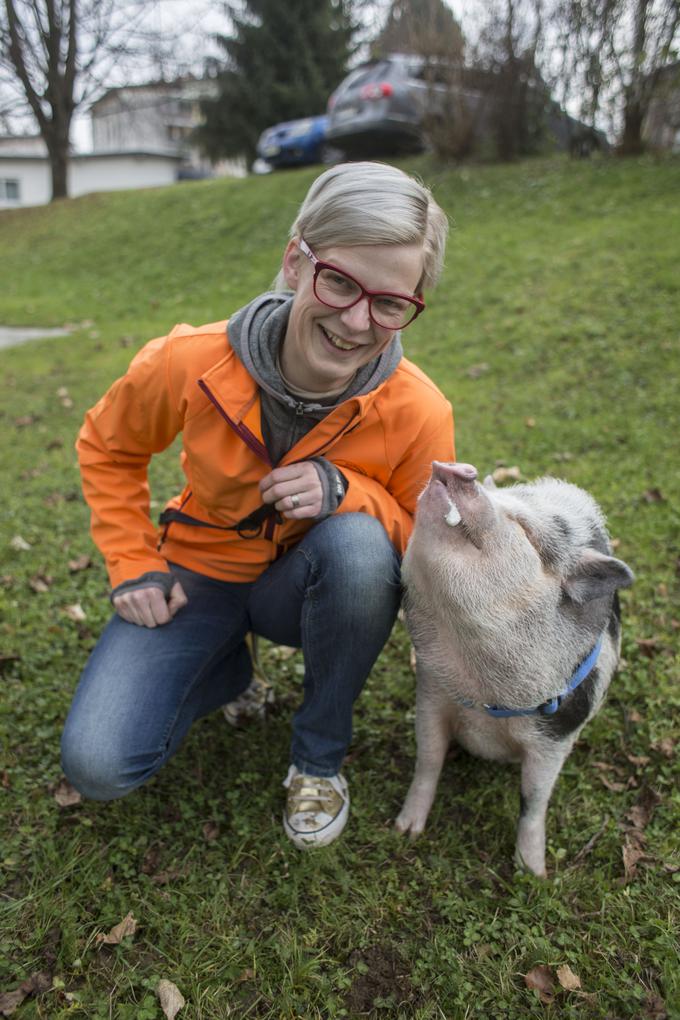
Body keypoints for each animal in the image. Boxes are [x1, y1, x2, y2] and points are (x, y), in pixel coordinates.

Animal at [395, 463, 636, 877]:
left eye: (524, 529)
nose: (458, 468)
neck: (483, 693)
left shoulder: (555, 736)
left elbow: (534, 800)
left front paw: (532, 873)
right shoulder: (432, 692)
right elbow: (428, 760)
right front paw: (405, 831)